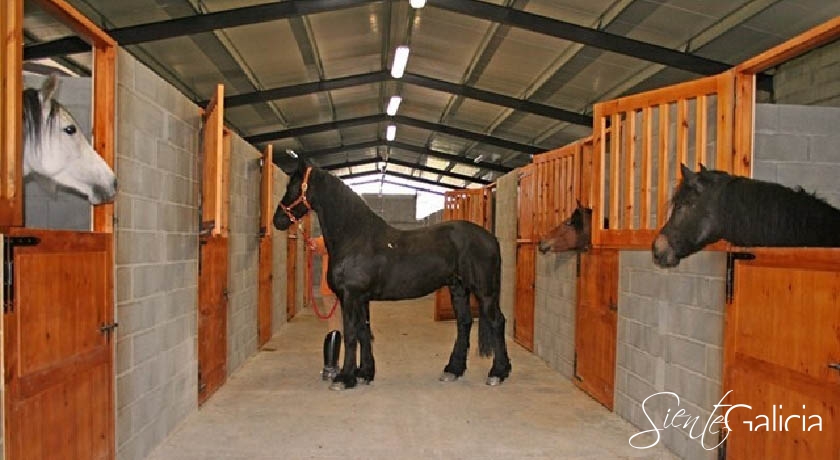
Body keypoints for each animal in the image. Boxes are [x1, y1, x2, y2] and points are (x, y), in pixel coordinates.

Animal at [273, 156, 511, 390]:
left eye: (293, 186)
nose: (277, 220)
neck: (356, 237)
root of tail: (490, 238)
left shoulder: (350, 296)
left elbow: (351, 334)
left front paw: (344, 378)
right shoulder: (361, 298)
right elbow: (363, 332)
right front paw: (364, 374)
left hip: (484, 291)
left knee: (497, 321)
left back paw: (498, 373)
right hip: (458, 288)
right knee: (464, 323)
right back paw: (453, 370)